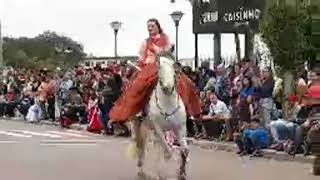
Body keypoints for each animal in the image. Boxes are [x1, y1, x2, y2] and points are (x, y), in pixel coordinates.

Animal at [132, 52, 189, 180]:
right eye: (159, 67)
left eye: (173, 66)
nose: (168, 87)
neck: (167, 103)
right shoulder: (158, 128)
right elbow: (167, 151)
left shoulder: (180, 127)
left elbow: (184, 151)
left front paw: (182, 173)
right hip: (140, 125)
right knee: (141, 145)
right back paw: (142, 169)